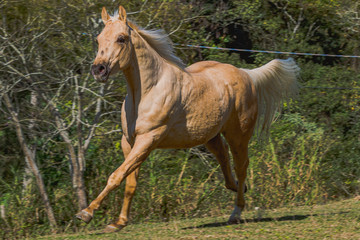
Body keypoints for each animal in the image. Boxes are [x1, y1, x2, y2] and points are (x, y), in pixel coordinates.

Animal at [75, 5, 298, 233]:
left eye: (121, 38)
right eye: (98, 39)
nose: (98, 70)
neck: (147, 92)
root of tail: (246, 74)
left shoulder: (148, 139)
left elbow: (116, 175)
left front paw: (86, 213)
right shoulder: (128, 142)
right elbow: (129, 182)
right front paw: (118, 223)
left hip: (239, 135)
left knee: (241, 166)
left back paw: (236, 213)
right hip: (211, 137)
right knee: (225, 162)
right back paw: (238, 188)